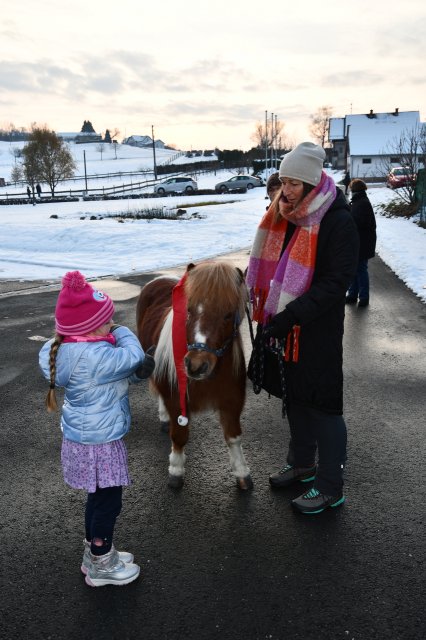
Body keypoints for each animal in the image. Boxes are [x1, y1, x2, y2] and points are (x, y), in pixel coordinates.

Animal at [136, 260, 253, 490]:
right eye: (189, 311)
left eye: (228, 314)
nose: (196, 366)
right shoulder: (176, 400)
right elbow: (179, 436)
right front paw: (176, 470)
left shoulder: (232, 401)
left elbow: (234, 436)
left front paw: (242, 472)